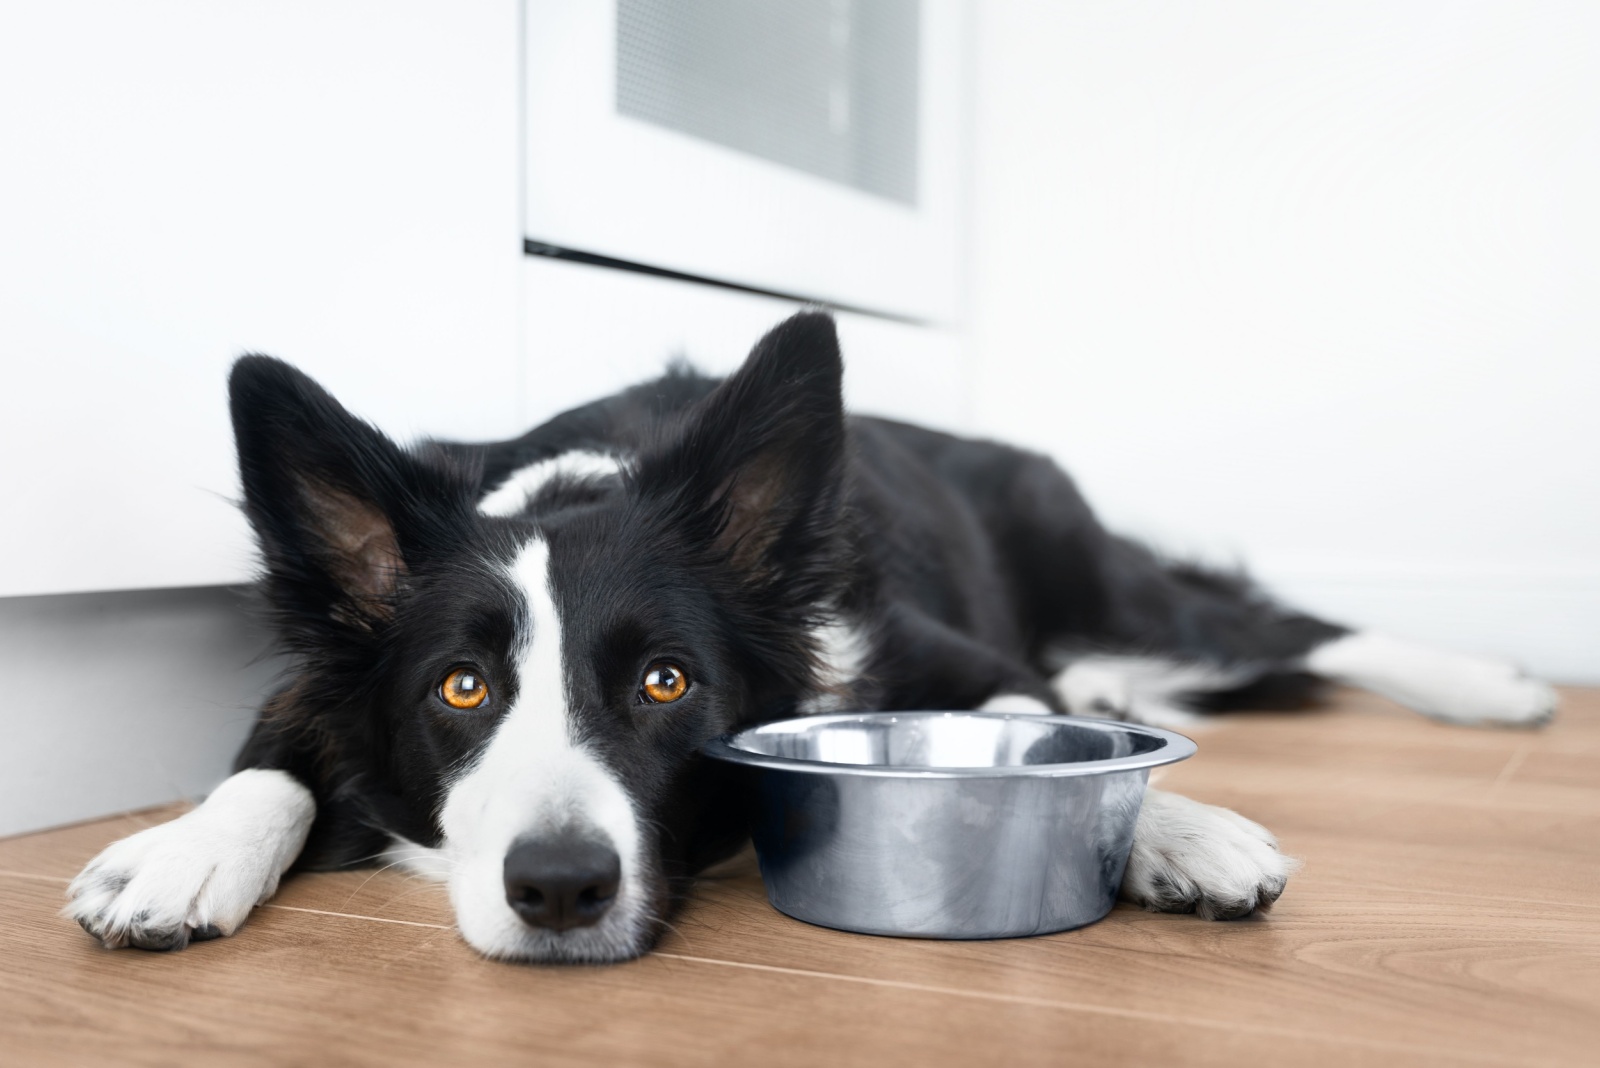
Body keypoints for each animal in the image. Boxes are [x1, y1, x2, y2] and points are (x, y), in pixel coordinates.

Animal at [68, 308, 1555, 959]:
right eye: (462, 689)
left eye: (667, 681)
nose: (559, 890)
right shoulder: (330, 677)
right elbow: (268, 757)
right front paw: (177, 854)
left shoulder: (968, 669)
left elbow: (1058, 750)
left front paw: (1179, 832)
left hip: (1127, 603)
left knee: (1292, 629)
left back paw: (1495, 686)